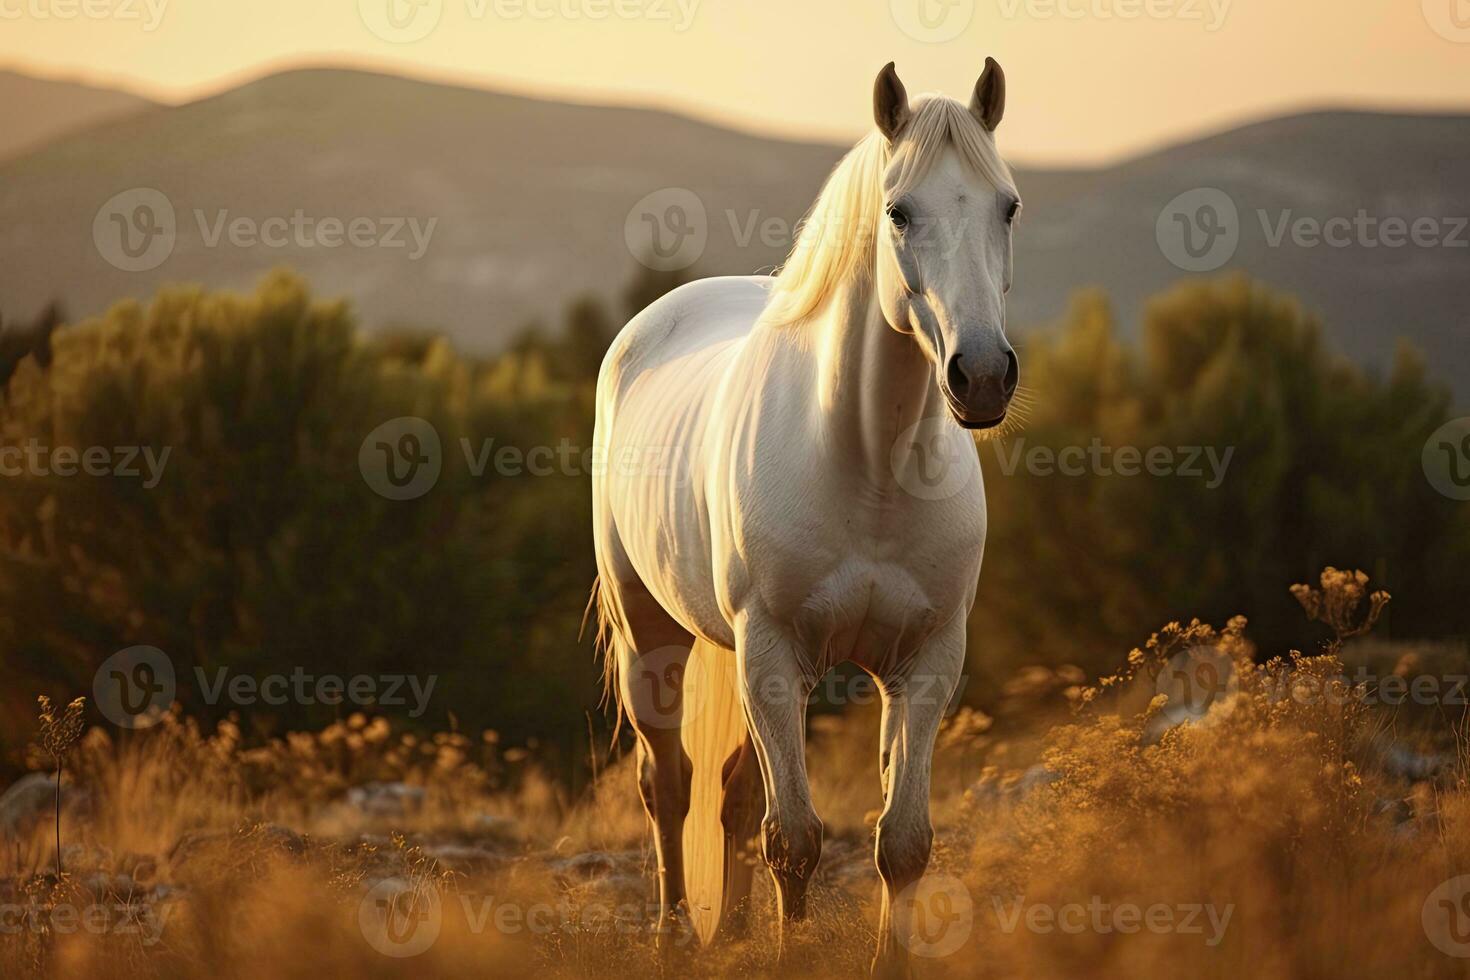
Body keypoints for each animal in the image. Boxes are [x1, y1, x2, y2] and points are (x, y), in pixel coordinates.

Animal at [590, 61, 1017, 975]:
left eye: (1008, 205)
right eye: (899, 211)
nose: (982, 376)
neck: (869, 466)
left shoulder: (927, 661)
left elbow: (902, 842)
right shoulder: (775, 651)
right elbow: (794, 839)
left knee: (728, 794)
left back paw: (731, 931)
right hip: (655, 639)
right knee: (669, 785)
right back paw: (673, 935)